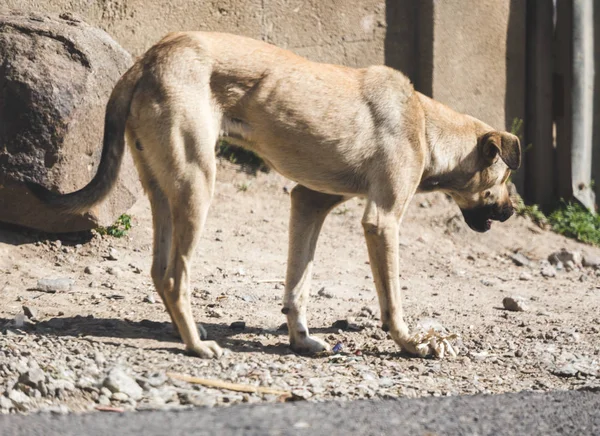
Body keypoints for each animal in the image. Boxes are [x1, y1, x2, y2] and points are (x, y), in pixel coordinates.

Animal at [29, 32, 520, 360]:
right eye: (507, 178)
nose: (514, 211)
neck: (425, 123)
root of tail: (150, 57)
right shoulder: (381, 221)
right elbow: (392, 300)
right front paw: (412, 343)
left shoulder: (308, 202)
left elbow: (297, 286)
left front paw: (300, 339)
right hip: (197, 185)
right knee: (174, 277)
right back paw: (197, 346)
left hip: (163, 192)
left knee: (158, 271)